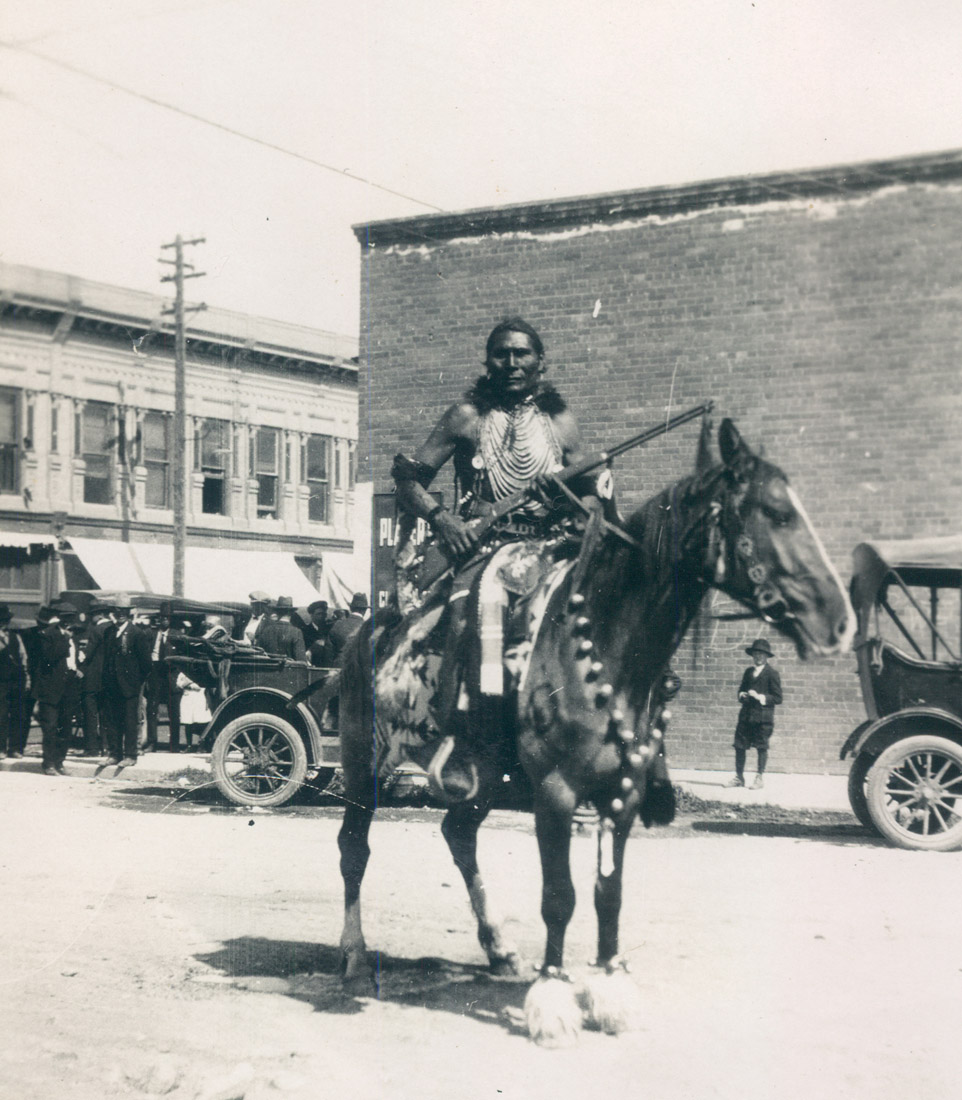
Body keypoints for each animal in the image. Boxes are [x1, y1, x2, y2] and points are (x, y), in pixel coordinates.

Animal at [334, 415, 853, 1042]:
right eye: (777, 514)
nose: (840, 618)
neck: (603, 641)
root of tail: (372, 627)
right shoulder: (556, 793)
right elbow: (560, 896)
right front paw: (553, 999)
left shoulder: (621, 793)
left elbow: (609, 893)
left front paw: (609, 986)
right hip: (362, 759)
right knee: (353, 849)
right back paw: (353, 955)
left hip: (486, 775)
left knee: (459, 835)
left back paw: (498, 946)